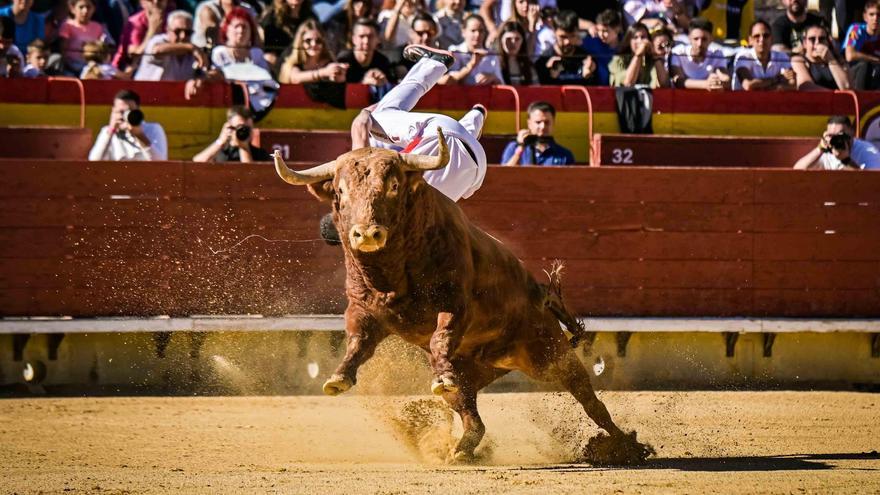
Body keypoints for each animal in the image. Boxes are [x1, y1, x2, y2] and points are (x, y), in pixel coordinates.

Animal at [276, 131, 652, 464]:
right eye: (340, 190)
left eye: (394, 186)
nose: (367, 233)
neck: (392, 271)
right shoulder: (364, 309)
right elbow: (357, 342)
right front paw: (338, 378)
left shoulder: (454, 304)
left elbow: (441, 336)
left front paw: (440, 376)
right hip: (475, 378)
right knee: (474, 418)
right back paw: (459, 450)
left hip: (549, 354)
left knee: (590, 401)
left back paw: (627, 447)